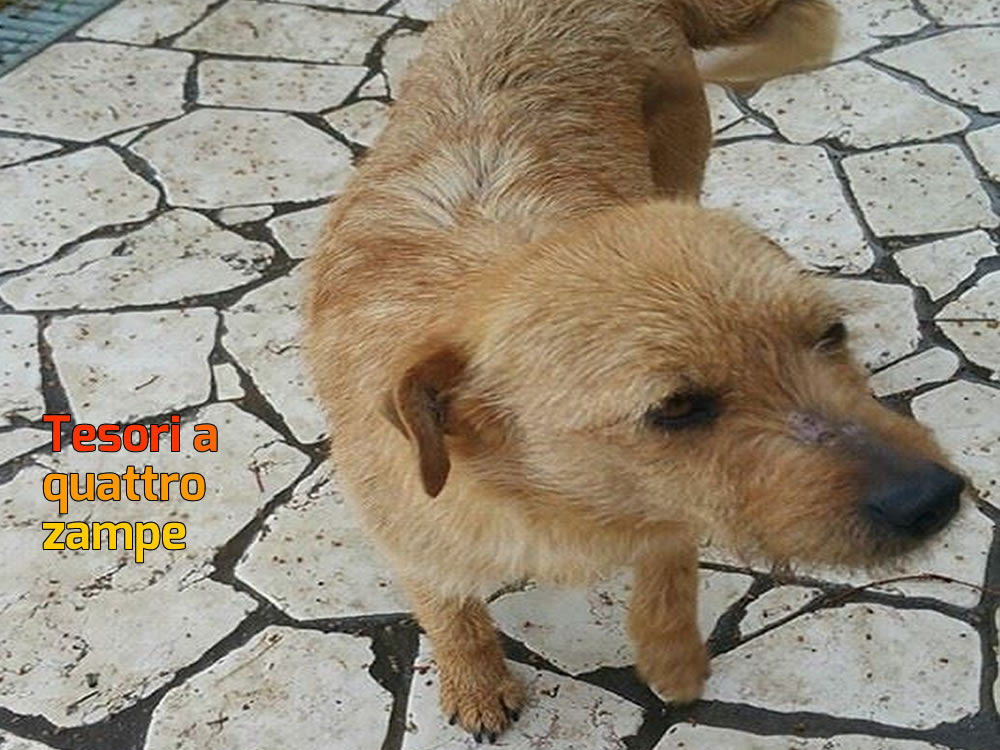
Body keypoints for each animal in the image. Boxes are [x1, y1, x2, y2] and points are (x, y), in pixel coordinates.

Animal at [305, 0, 964, 741]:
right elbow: (450, 610)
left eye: (830, 333)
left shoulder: (669, 510)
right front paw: (475, 680)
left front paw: (672, 657)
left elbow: (669, 571)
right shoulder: (412, 537)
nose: (932, 498)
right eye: (675, 408)